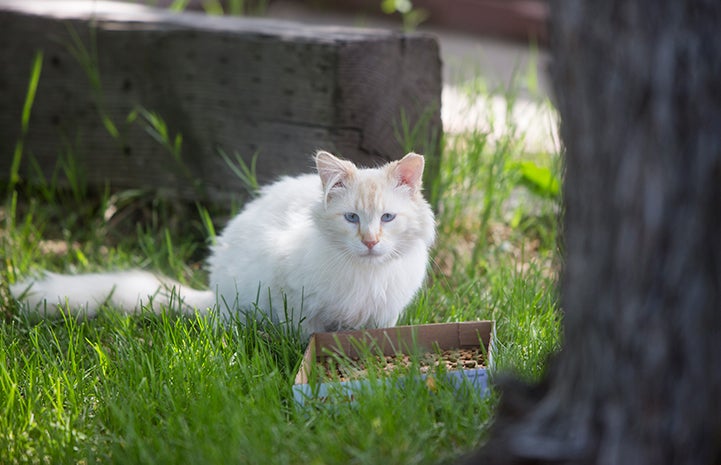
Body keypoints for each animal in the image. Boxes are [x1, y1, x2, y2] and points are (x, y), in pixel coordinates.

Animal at [11, 150, 436, 336]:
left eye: (387, 218)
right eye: (351, 219)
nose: (370, 242)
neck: (366, 274)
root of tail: (212, 295)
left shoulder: (384, 316)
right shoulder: (304, 310)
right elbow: (308, 339)